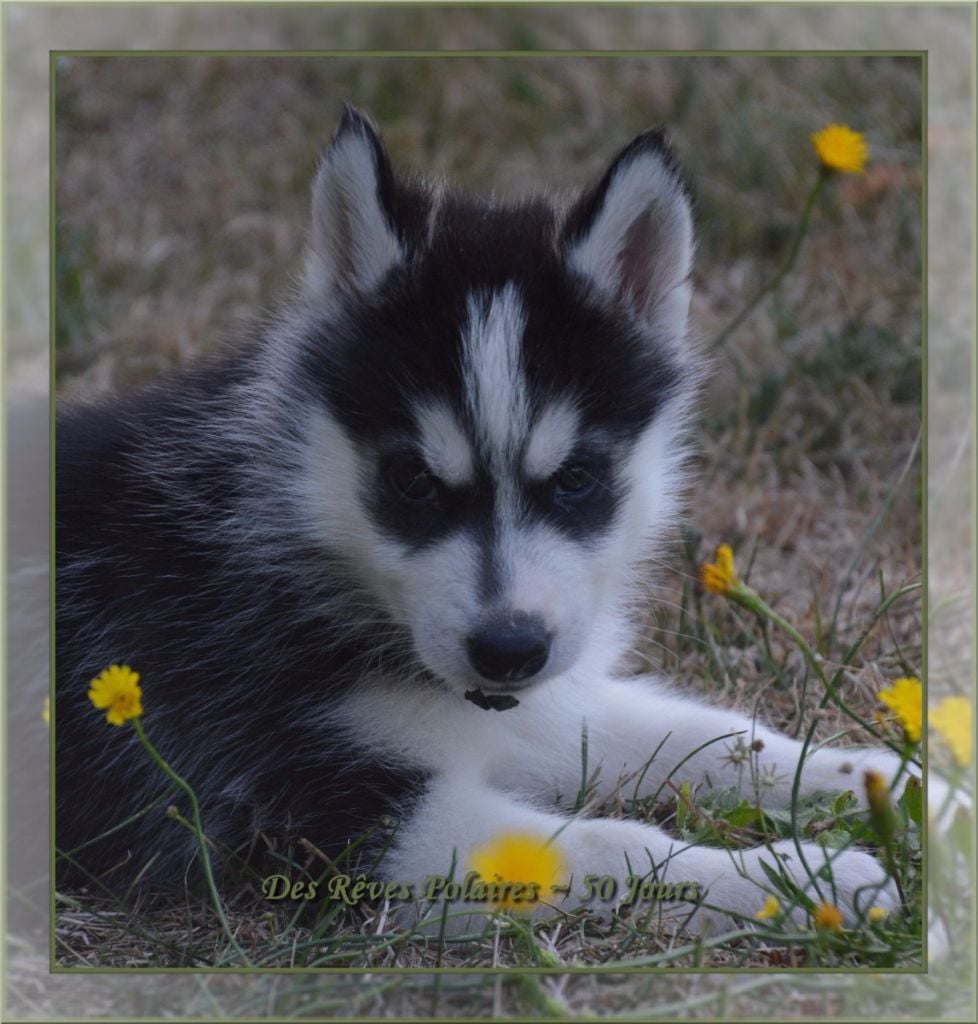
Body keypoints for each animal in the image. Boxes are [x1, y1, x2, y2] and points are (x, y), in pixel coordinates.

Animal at [56, 106, 908, 932]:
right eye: (411, 482)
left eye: (576, 479)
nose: (509, 652)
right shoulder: (327, 809)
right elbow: (606, 843)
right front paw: (800, 879)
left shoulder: (547, 710)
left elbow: (714, 735)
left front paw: (887, 779)